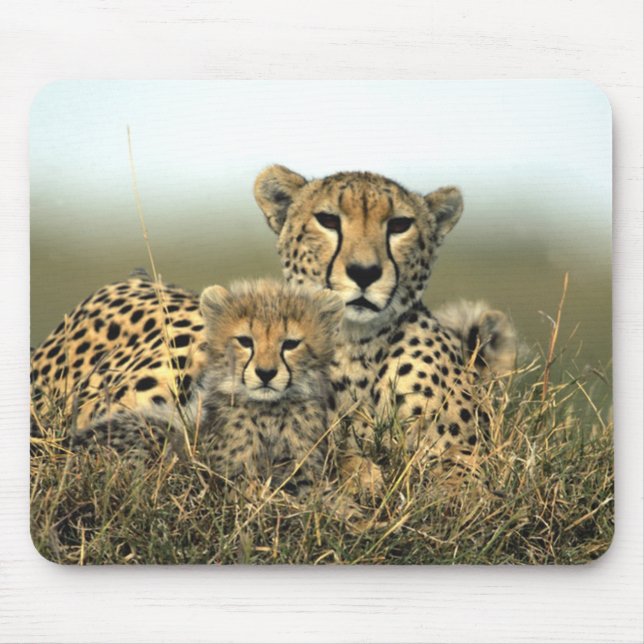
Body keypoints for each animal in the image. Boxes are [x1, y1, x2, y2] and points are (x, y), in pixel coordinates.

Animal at [69, 279, 344, 496]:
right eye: (245, 341)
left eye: (290, 344)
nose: (265, 373)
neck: (269, 412)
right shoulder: (229, 477)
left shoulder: (303, 472)